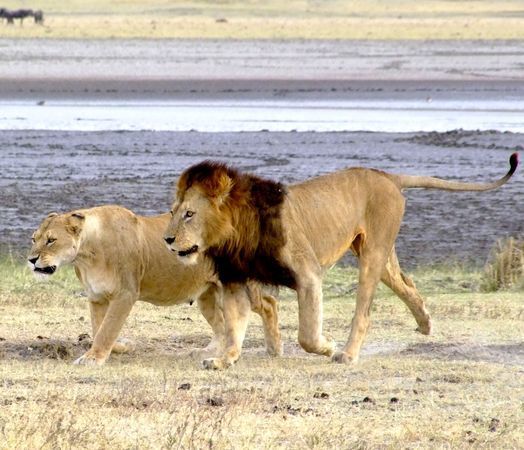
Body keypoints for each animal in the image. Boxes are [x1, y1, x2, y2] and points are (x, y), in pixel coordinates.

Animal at [27, 205, 282, 366]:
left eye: (51, 240)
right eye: (33, 239)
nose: (31, 260)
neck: (86, 255)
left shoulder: (125, 294)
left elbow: (107, 329)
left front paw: (92, 358)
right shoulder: (96, 297)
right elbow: (98, 328)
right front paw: (121, 348)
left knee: (269, 303)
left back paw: (274, 349)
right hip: (207, 295)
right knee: (221, 325)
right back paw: (206, 352)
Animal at [166, 153, 516, 368]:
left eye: (189, 214)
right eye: (172, 212)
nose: (167, 240)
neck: (235, 234)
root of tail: (386, 175)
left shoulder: (307, 274)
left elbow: (307, 334)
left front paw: (327, 346)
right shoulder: (236, 280)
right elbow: (234, 326)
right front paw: (224, 359)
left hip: (373, 254)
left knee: (364, 311)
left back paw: (347, 354)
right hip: (378, 254)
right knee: (406, 284)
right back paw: (426, 322)